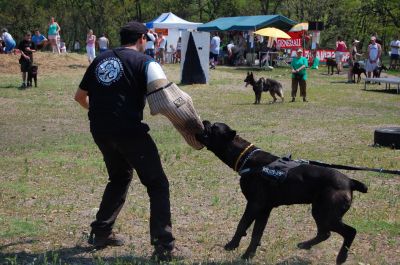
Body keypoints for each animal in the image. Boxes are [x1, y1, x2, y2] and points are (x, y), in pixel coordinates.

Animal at [195, 120, 368, 262]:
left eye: (213, 127)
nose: (205, 121)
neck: (247, 158)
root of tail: (350, 181)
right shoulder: (264, 209)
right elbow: (256, 233)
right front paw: (249, 255)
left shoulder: (254, 205)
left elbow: (242, 224)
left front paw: (232, 245)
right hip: (321, 212)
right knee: (325, 233)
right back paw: (305, 245)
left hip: (325, 213)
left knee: (349, 231)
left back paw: (341, 257)